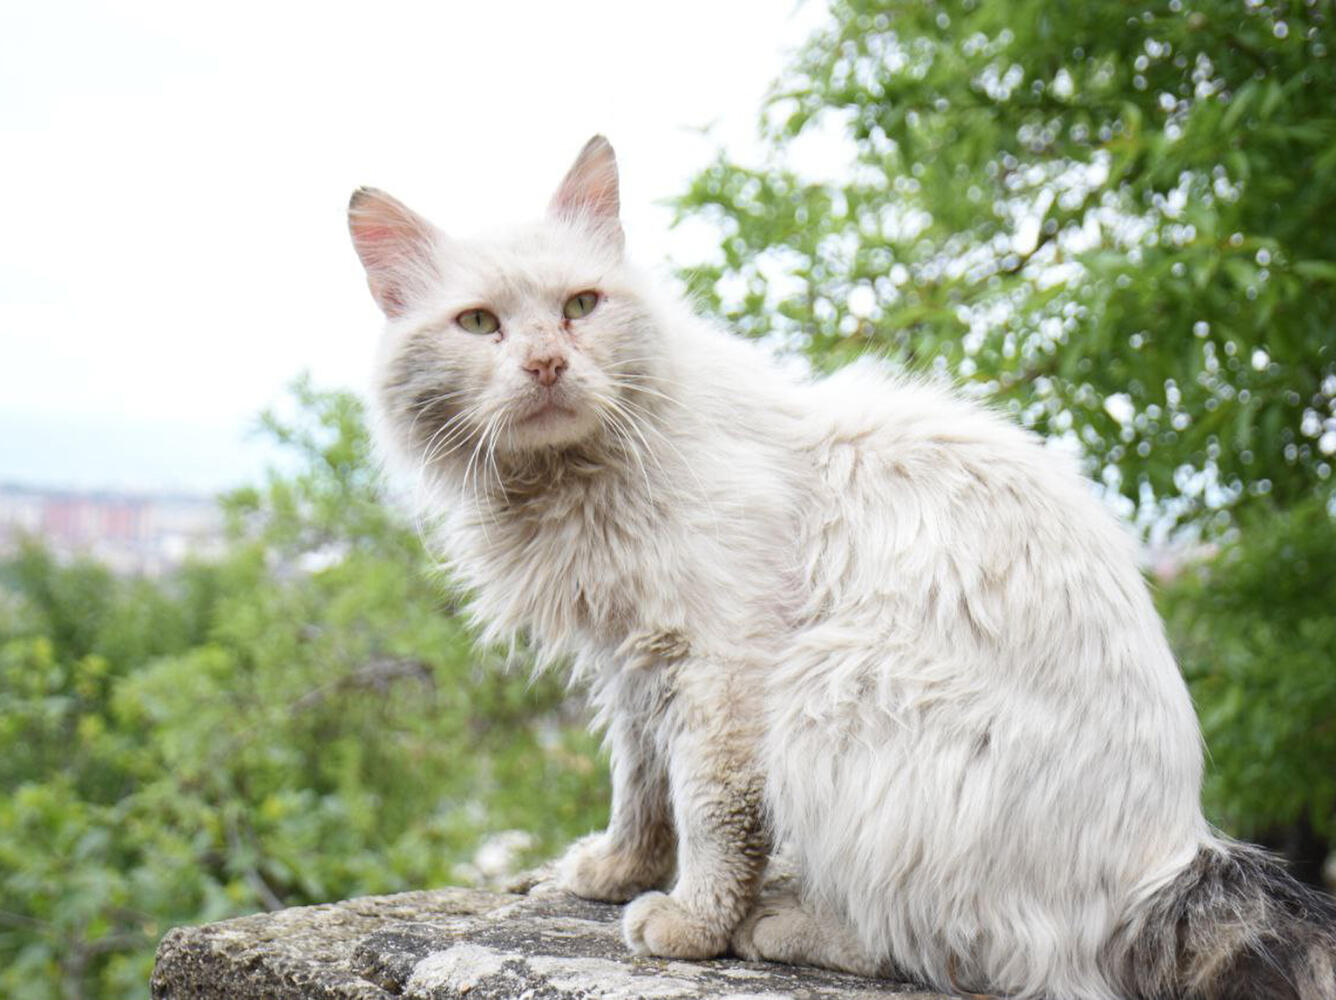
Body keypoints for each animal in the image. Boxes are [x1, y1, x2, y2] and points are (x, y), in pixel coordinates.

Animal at [348, 136, 1336, 999]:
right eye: (481, 324)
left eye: (581, 307)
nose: (548, 363)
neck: (569, 480)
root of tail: (1174, 856)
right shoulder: (634, 657)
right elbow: (642, 785)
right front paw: (613, 872)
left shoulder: (722, 664)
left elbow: (709, 811)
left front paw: (692, 925)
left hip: (834, 683)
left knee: (965, 952)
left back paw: (783, 925)